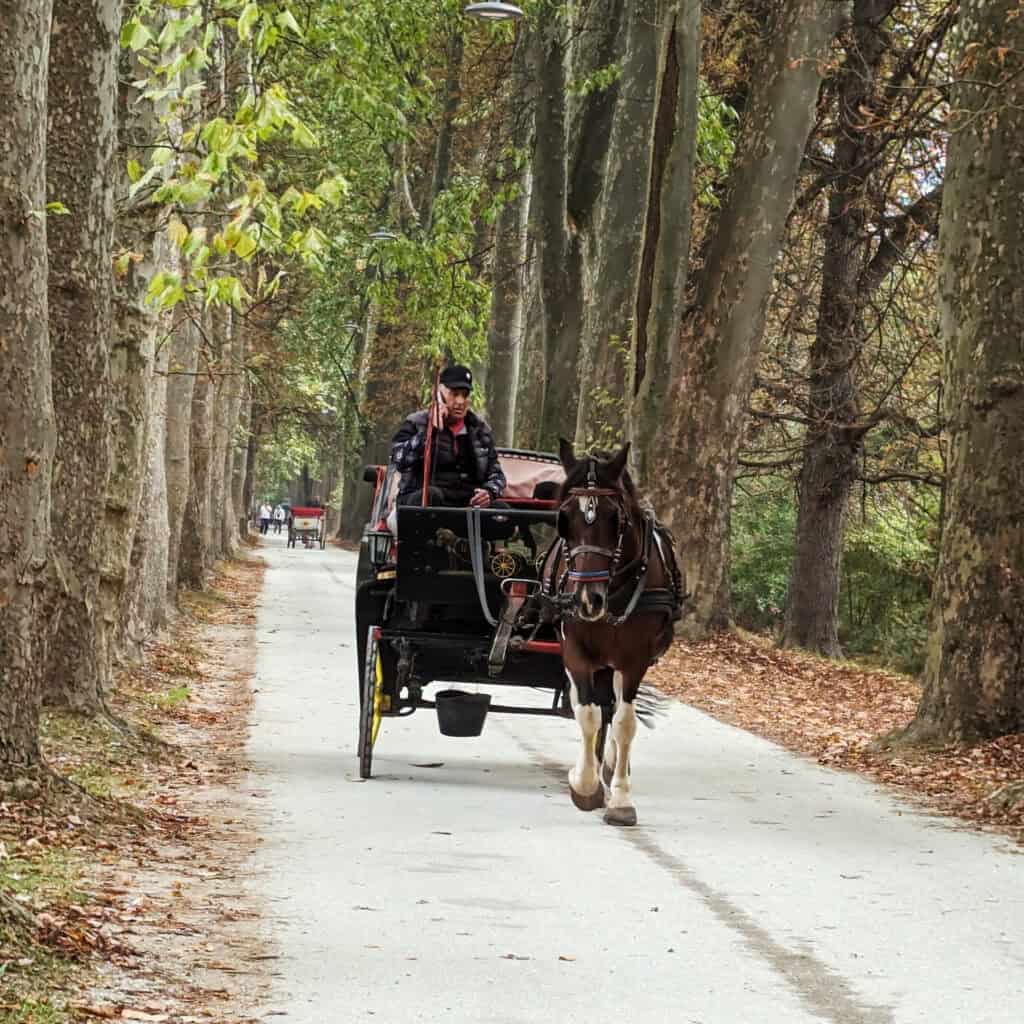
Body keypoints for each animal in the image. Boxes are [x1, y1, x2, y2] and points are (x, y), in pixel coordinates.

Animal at [542, 439, 684, 826]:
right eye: (564, 518)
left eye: (614, 518)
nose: (587, 600)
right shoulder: (574, 651)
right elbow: (586, 714)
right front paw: (584, 785)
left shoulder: (634, 660)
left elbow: (623, 722)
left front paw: (620, 799)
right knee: (590, 705)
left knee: (614, 708)